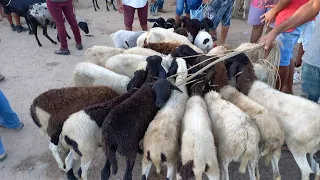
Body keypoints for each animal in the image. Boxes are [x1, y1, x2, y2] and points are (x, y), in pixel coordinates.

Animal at [226, 52, 320, 180]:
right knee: (317, 169)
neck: (250, 83)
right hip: (313, 150)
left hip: (298, 147)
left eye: (232, 59)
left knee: (306, 170)